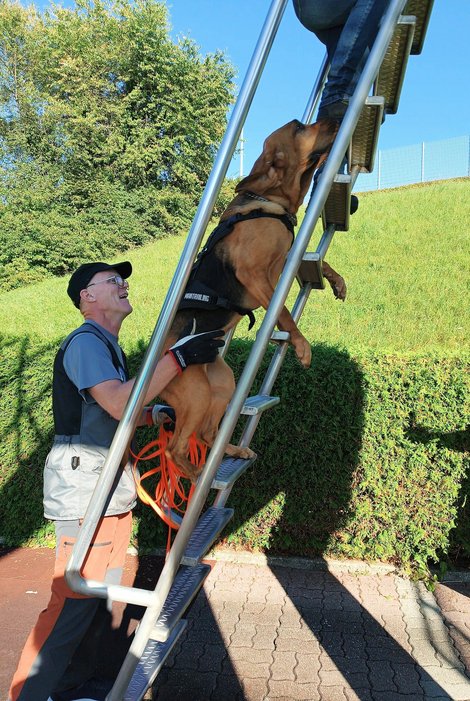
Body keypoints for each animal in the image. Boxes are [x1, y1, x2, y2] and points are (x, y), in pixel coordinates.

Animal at [160, 120, 346, 482]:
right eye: (300, 127)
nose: (333, 119)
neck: (267, 200)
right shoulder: (256, 275)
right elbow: (284, 313)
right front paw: (301, 346)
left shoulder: (286, 260)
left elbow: (323, 264)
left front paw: (337, 281)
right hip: (196, 394)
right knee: (176, 447)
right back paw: (196, 474)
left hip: (222, 385)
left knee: (207, 433)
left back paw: (231, 451)